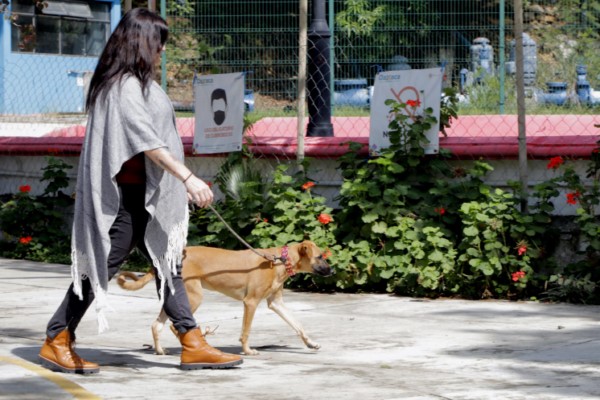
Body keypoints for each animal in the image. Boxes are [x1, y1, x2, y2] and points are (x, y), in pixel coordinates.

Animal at [117, 241, 330, 356]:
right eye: (320, 257)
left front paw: (311, 343)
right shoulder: (250, 302)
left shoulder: (276, 303)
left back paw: (161, 351)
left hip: (175, 296)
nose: (332, 271)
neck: (279, 261)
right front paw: (247, 351)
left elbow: (298, 325)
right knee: (173, 326)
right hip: (193, 296)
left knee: (157, 325)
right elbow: (246, 331)